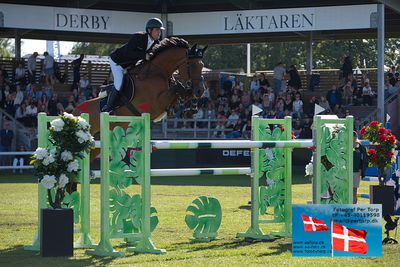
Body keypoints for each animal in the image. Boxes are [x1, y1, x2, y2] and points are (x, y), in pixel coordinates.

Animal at [72, 37, 208, 140]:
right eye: (191, 64)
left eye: (202, 65)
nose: (201, 90)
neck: (158, 72)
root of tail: (73, 112)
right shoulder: (154, 104)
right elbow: (178, 89)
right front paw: (180, 104)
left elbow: (186, 92)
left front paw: (190, 109)